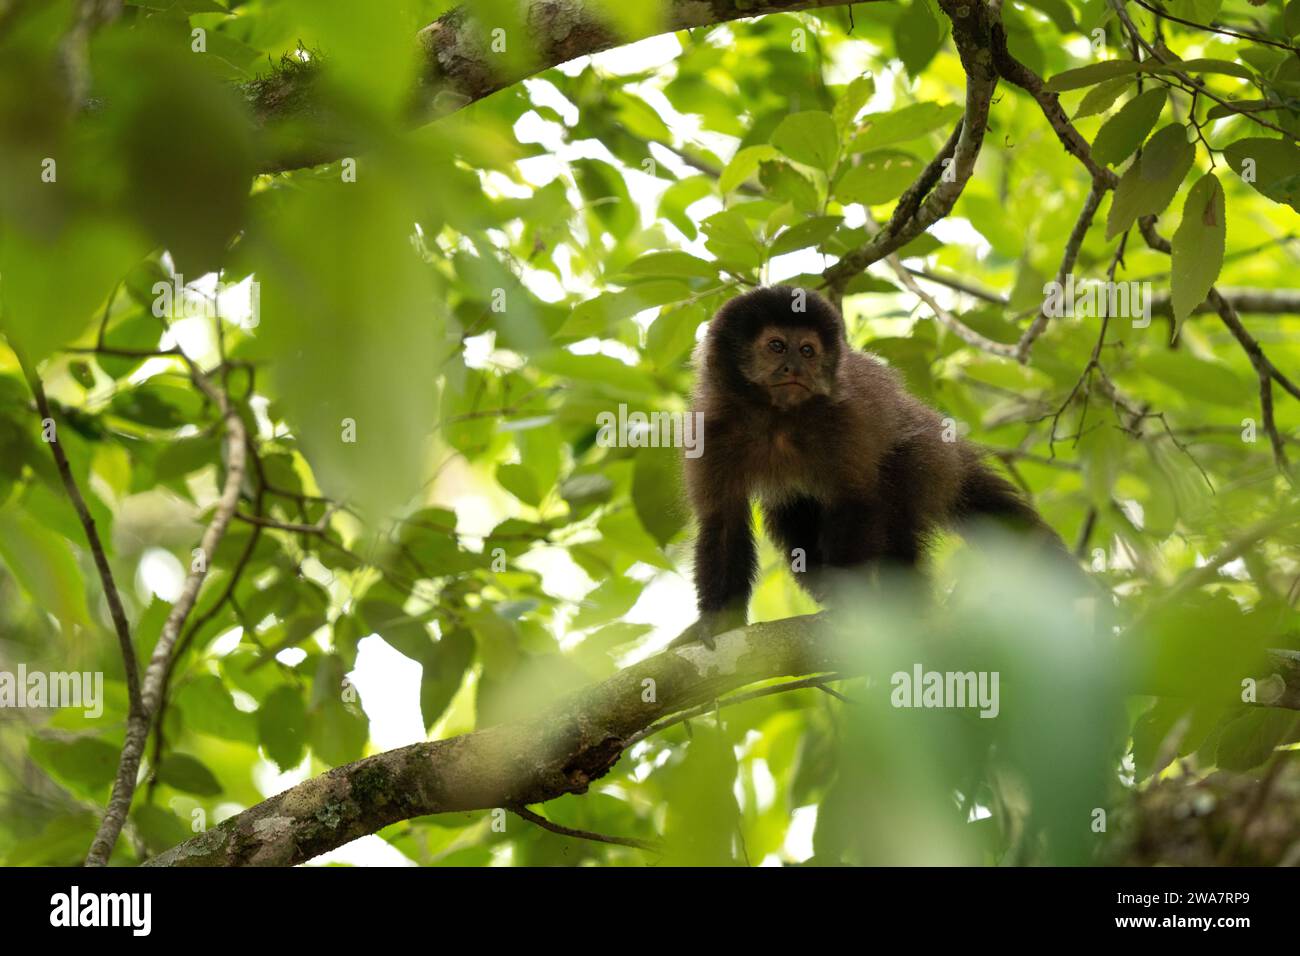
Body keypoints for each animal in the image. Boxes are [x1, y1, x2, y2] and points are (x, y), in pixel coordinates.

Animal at [681, 283, 1076, 642]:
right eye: (777, 346)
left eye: (807, 351)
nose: (795, 367)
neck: (777, 420)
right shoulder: (711, 432)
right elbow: (722, 519)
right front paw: (718, 620)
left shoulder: (846, 421)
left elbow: (855, 499)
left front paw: (846, 595)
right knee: (792, 513)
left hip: (924, 458)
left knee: (895, 515)